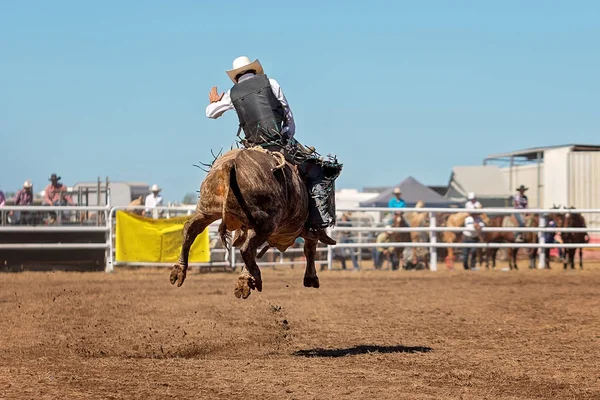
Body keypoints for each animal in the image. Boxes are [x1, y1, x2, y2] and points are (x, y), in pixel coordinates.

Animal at [169, 147, 336, 296]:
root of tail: (231, 163)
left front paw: (245, 279)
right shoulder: (302, 230)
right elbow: (310, 246)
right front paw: (311, 278)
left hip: (207, 209)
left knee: (190, 229)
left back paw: (179, 270)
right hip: (265, 222)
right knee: (246, 249)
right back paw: (256, 277)